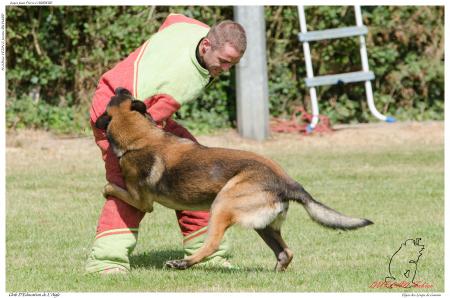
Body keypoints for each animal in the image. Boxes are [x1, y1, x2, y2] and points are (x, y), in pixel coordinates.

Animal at [96, 87, 372, 272]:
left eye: (117, 96)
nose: (120, 87)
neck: (141, 136)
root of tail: (288, 183)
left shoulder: (141, 200)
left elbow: (115, 188)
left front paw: (107, 188)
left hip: (222, 204)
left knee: (211, 244)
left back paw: (183, 263)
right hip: (264, 225)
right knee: (286, 252)